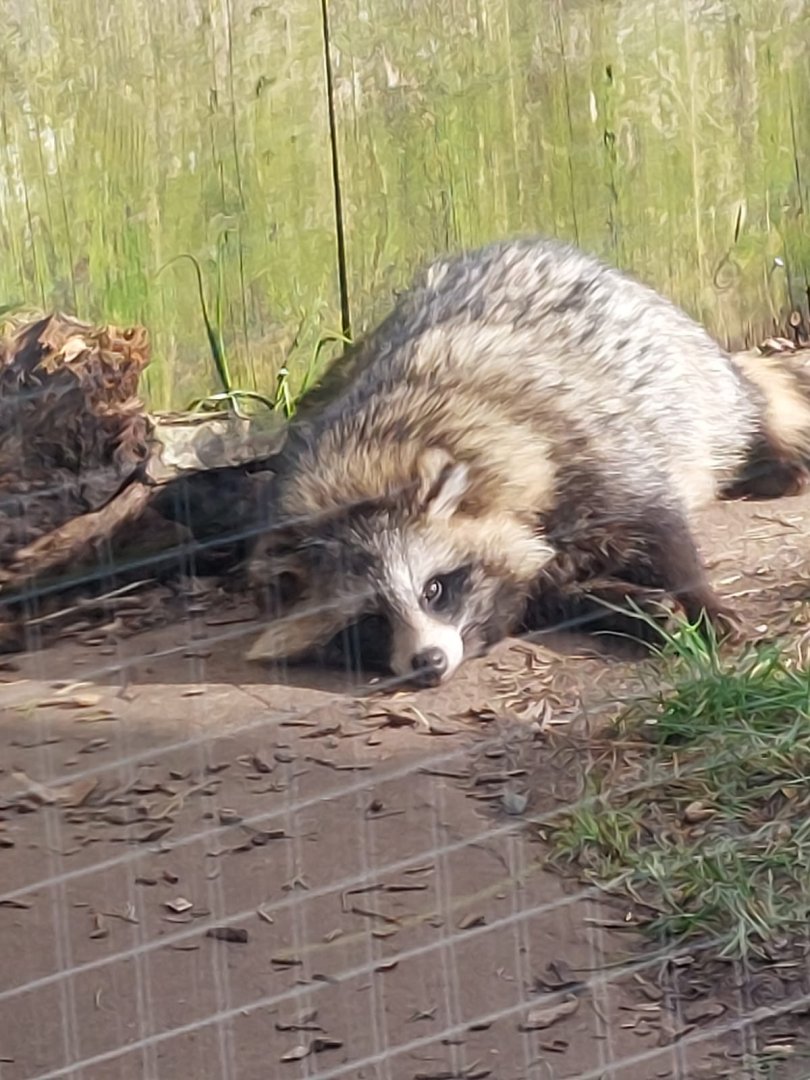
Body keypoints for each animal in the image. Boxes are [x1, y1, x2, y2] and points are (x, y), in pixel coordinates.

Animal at [246, 237, 810, 687]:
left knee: (730, 416)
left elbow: (658, 523)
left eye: (433, 589)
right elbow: (551, 594)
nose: (427, 663)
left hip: (689, 370)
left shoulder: (576, 446)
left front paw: (699, 599)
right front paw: (620, 604)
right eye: (369, 624)